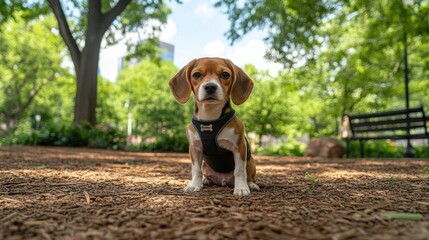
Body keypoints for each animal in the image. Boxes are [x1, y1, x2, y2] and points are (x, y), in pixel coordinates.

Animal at [170, 57, 258, 196]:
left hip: (251, 162)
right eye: (196, 75)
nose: (210, 87)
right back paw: (205, 180)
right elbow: (196, 170)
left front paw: (241, 188)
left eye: (225, 74)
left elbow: (239, 171)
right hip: (206, 164)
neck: (209, 118)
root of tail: (223, 180)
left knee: (248, 175)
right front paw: (194, 185)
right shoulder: (194, 148)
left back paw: (251, 184)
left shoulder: (239, 147)